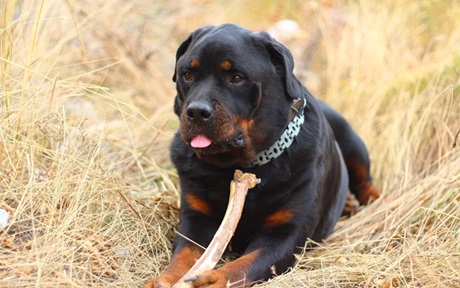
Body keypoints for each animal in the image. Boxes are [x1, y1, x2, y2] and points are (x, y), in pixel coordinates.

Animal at [145, 23, 380, 288]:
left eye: (237, 78)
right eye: (187, 74)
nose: (196, 111)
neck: (242, 164)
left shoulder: (285, 234)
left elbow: (244, 266)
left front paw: (214, 280)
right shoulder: (195, 218)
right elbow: (185, 254)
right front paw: (166, 279)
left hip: (350, 138)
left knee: (365, 180)